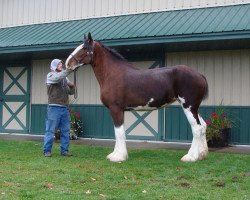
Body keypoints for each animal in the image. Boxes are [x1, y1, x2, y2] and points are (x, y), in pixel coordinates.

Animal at [65, 32, 208, 162]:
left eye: (84, 48)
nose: (67, 63)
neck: (112, 74)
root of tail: (200, 75)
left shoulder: (116, 109)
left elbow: (119, 132)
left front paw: (118, 156)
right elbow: (120, 132)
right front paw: (116, 154)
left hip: (188, 106)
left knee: (196, 128)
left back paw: (191, 157)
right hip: (194, 108)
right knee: (203, 126)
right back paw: (201, 155)